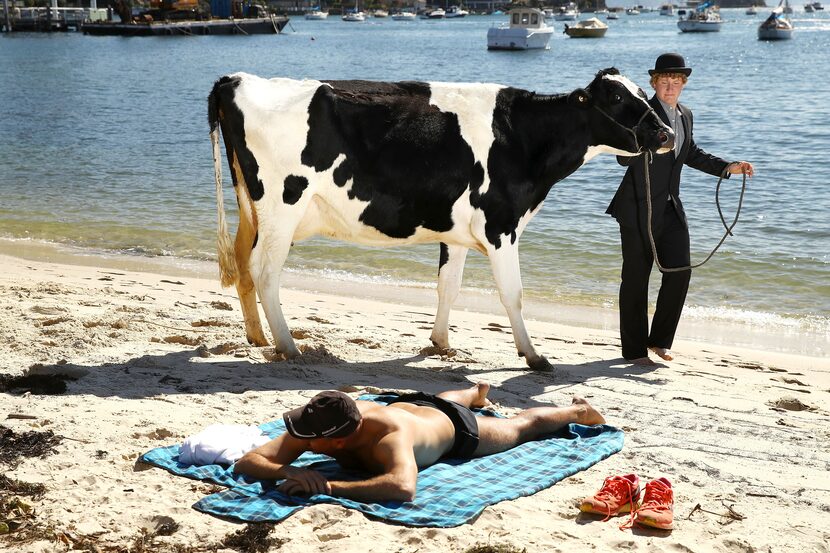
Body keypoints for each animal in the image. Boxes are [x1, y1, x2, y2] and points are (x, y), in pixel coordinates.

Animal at [208, 69, 676, 370]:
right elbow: (513, 294)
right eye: (617, 98)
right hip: (282, 204)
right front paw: (534, 356)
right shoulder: (500, 226)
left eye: (642, 91)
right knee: (264, 271)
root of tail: (236, 79)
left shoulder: (456, 232)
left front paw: (441, 344)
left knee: (244, 266)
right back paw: (288, 346)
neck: (523, 137)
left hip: (252, 208)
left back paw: (257, 338)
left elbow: (447, 287)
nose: (667, 134)